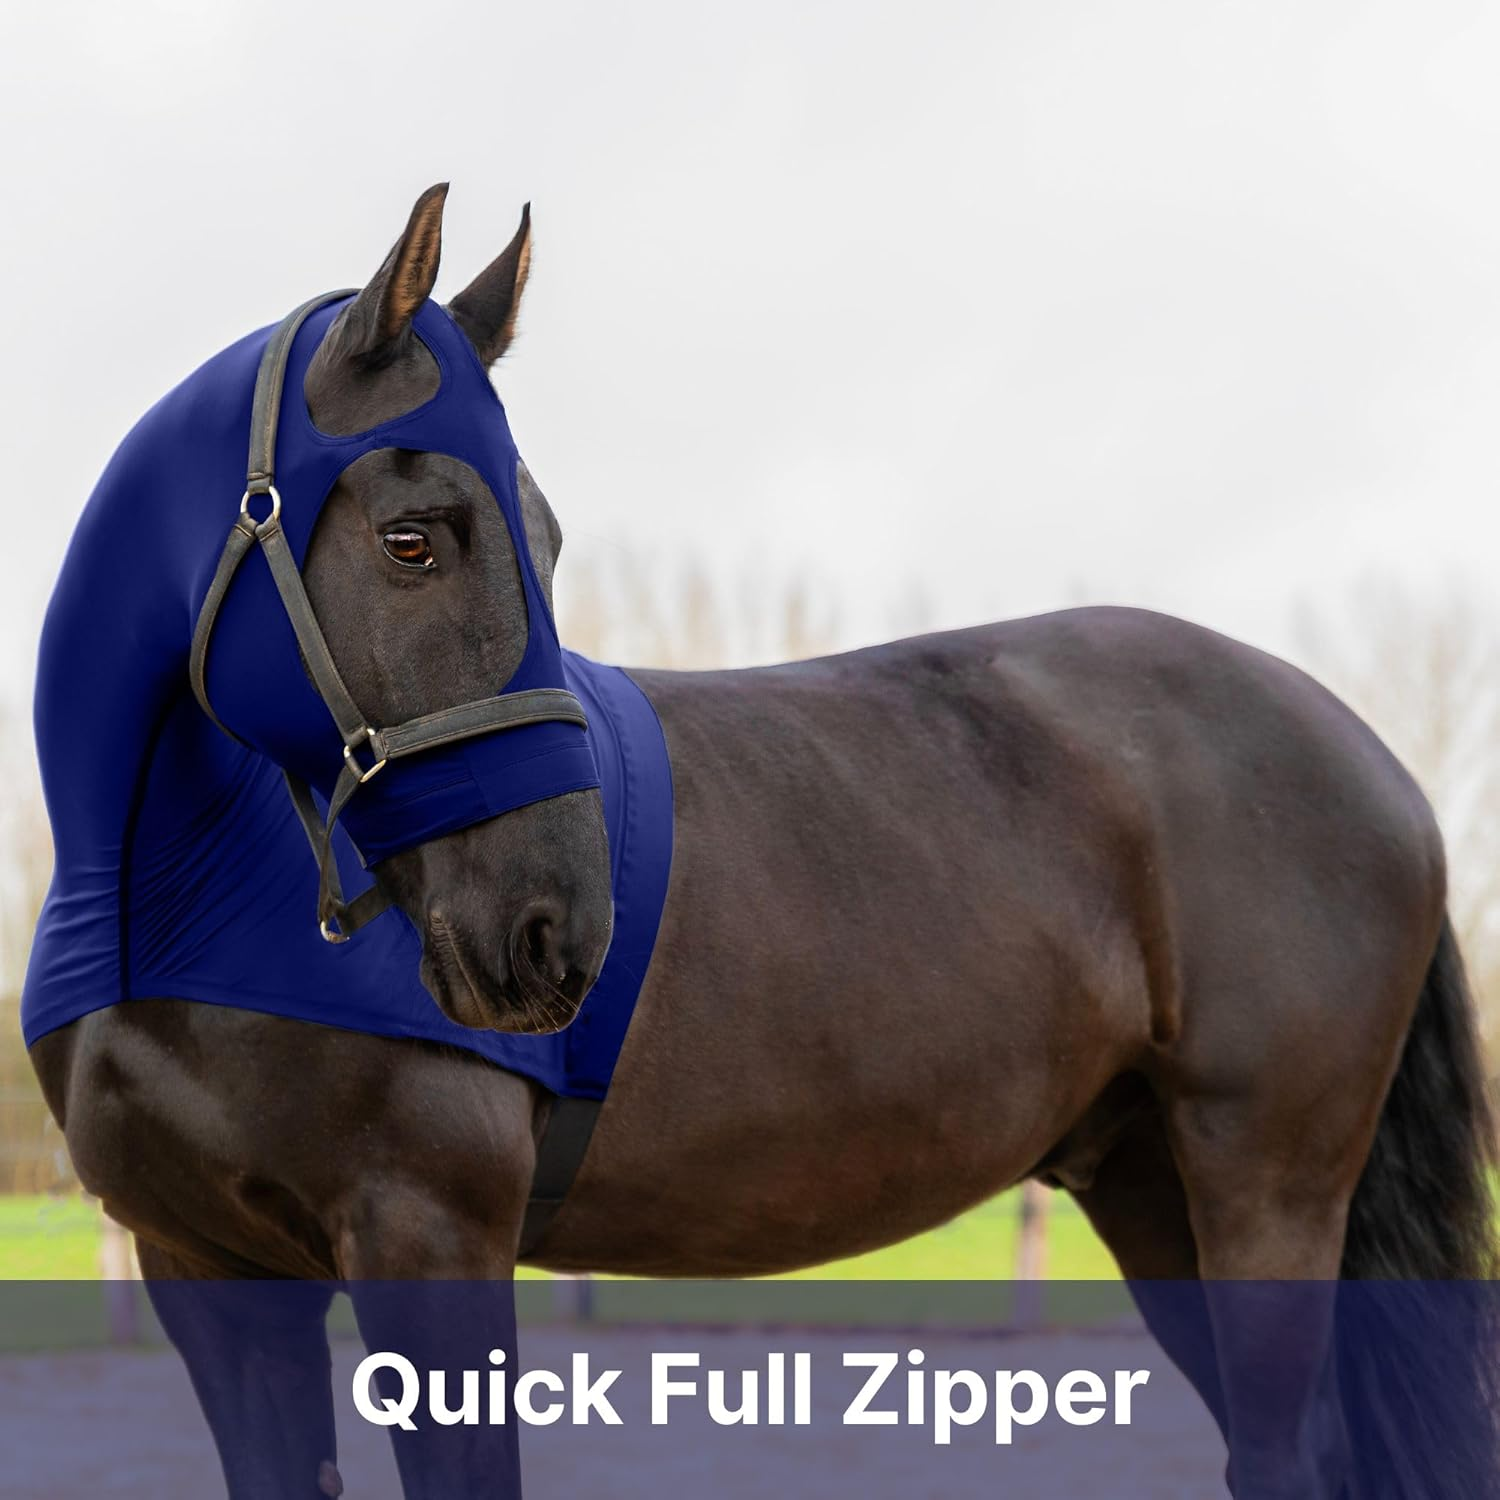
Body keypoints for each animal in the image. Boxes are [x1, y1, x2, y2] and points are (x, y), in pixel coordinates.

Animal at [27, 184, 1497, 1499]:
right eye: (412, 540)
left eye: (543, 541)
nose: (555, 931)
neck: (180, 907)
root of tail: (1369, 759)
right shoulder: (208, 1278)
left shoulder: (428, 1239)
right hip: (1148, 1184)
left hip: (1267, 1182)